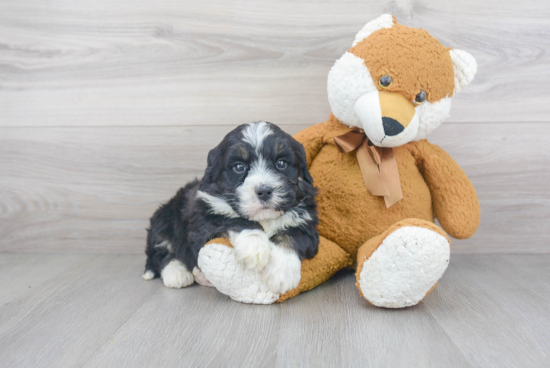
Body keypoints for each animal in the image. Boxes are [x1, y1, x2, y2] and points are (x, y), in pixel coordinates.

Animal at [143, 121, 320, 294]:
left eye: (281, 163)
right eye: (239, 167)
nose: (264, 191)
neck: (264, 218)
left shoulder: (307, 222)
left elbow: (292, 235)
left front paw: (281, 272)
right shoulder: (203, 224)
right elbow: (234, 220)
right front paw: (254, 246)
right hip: (164, 219)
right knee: (161, 252)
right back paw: (177, 273)